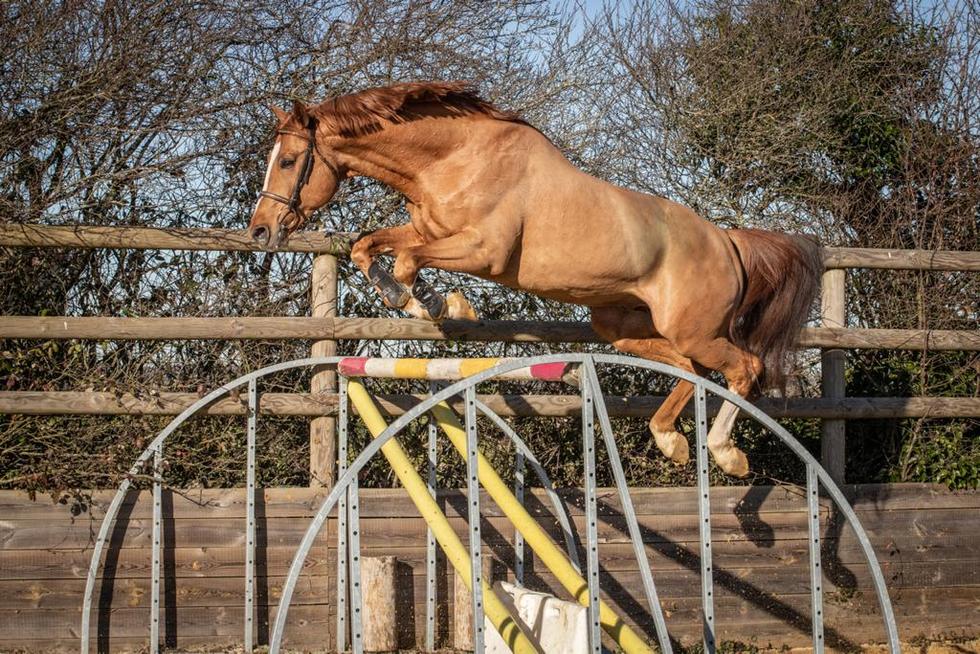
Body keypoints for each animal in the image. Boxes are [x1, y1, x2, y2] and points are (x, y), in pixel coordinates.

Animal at [247, 81, 822, 477]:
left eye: (290, 160)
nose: (260, 230)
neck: (452, 159)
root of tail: (727, 241)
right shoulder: (427, 230)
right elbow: (368, 246)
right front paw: (426, 303)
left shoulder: (482, 252)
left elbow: (408, 263)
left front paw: (434, 303)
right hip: (622, 326)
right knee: (689, 370)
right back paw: (670, 440)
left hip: (694, 329)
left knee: (745, 367)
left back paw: (724, 453)